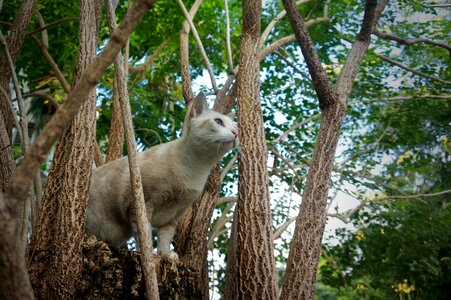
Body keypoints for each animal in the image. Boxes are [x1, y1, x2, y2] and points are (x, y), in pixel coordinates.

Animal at [86, 92, 238, 258]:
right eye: (218, 122)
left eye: (235, 126)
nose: (236, 133)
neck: (197, 169)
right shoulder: (142, 206)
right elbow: (144, 236)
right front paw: (150, 255)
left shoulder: (173, 216)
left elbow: (165, 238)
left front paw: (166, 256)